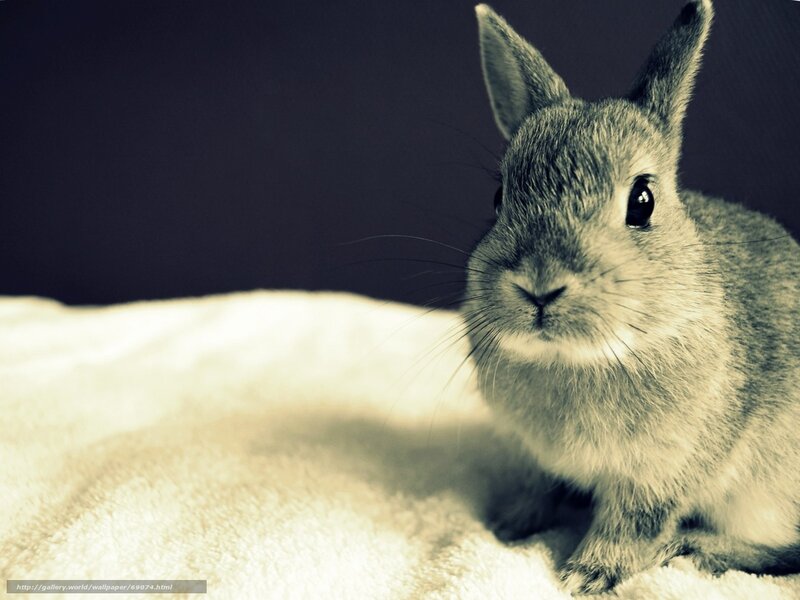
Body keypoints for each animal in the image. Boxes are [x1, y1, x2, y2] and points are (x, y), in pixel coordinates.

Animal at [464, 0, 800, 594]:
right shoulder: (538, 459)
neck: (578, 358)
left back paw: (694, 547)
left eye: (642, 200)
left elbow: (629, 526)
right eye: (500, 196)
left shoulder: (660, 472)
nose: (539, 285)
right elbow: (539, 489)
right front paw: (508, 526)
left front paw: (584, 575)